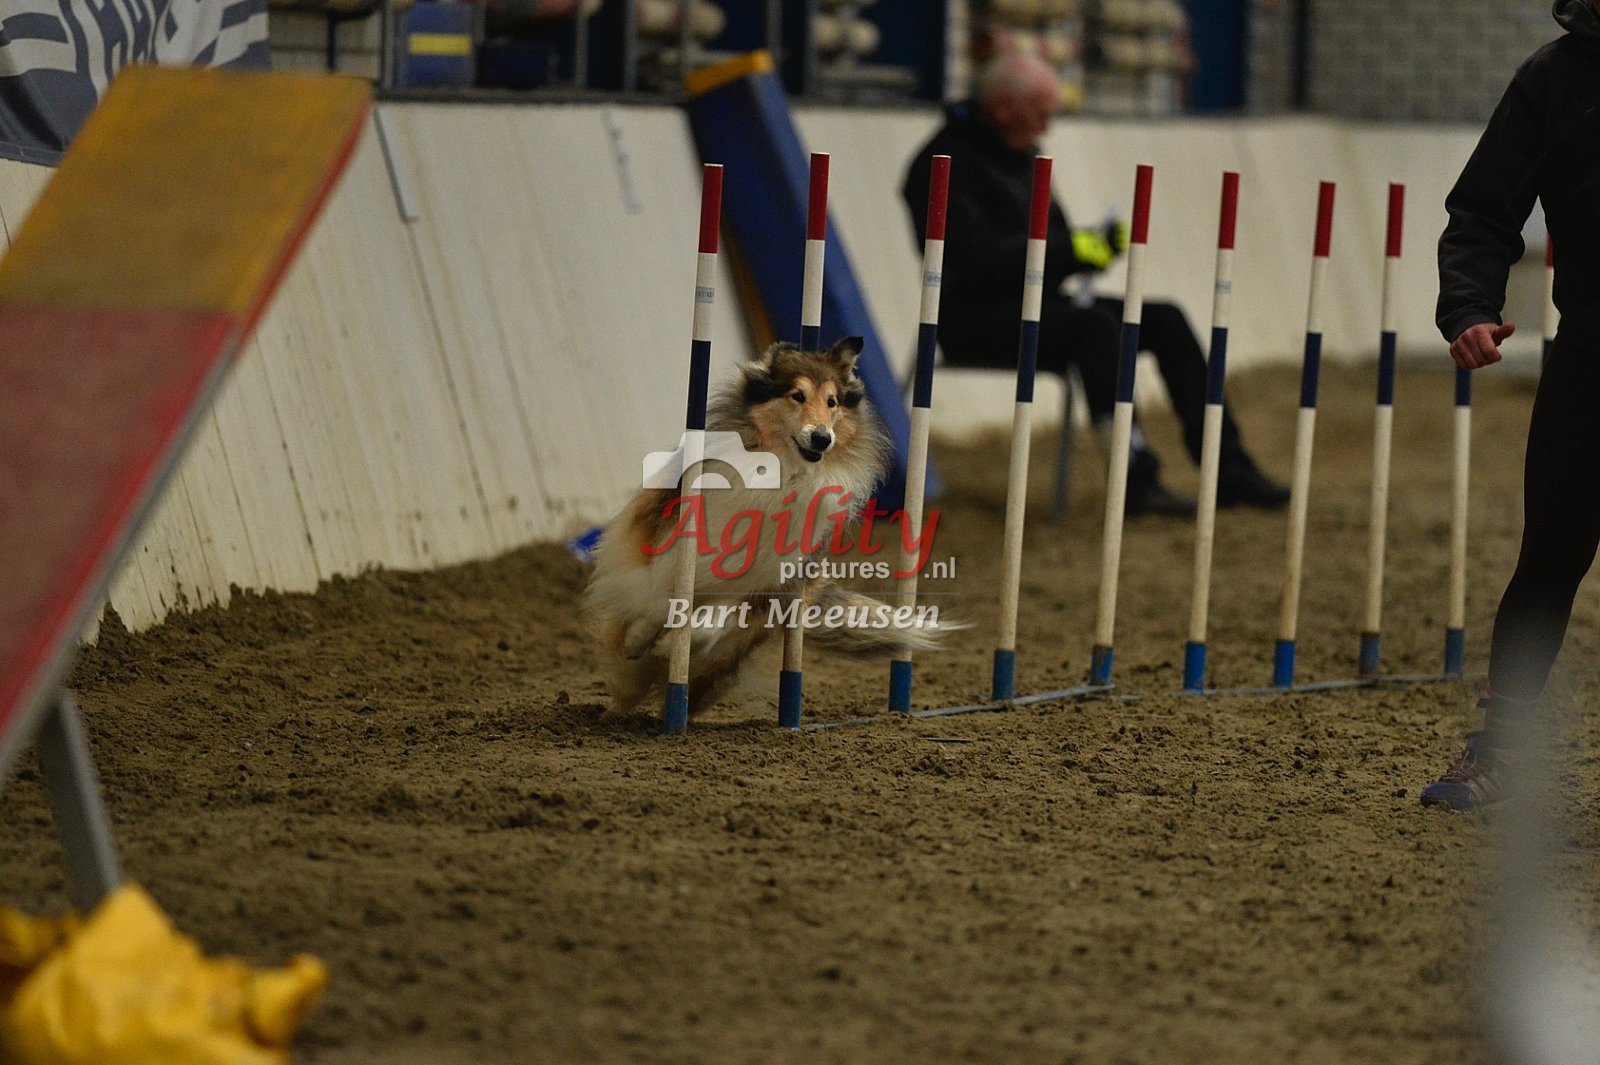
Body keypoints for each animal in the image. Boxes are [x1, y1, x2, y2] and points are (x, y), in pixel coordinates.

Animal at [583, 335, 951, 719]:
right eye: (798, 395)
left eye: (832, 402)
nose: (822, 439)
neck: (782, 471)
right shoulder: (666, 541)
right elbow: (657, 593)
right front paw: (639, 638)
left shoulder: (766, 581)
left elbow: (712, 622)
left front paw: (672, 643)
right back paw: (617, 706)